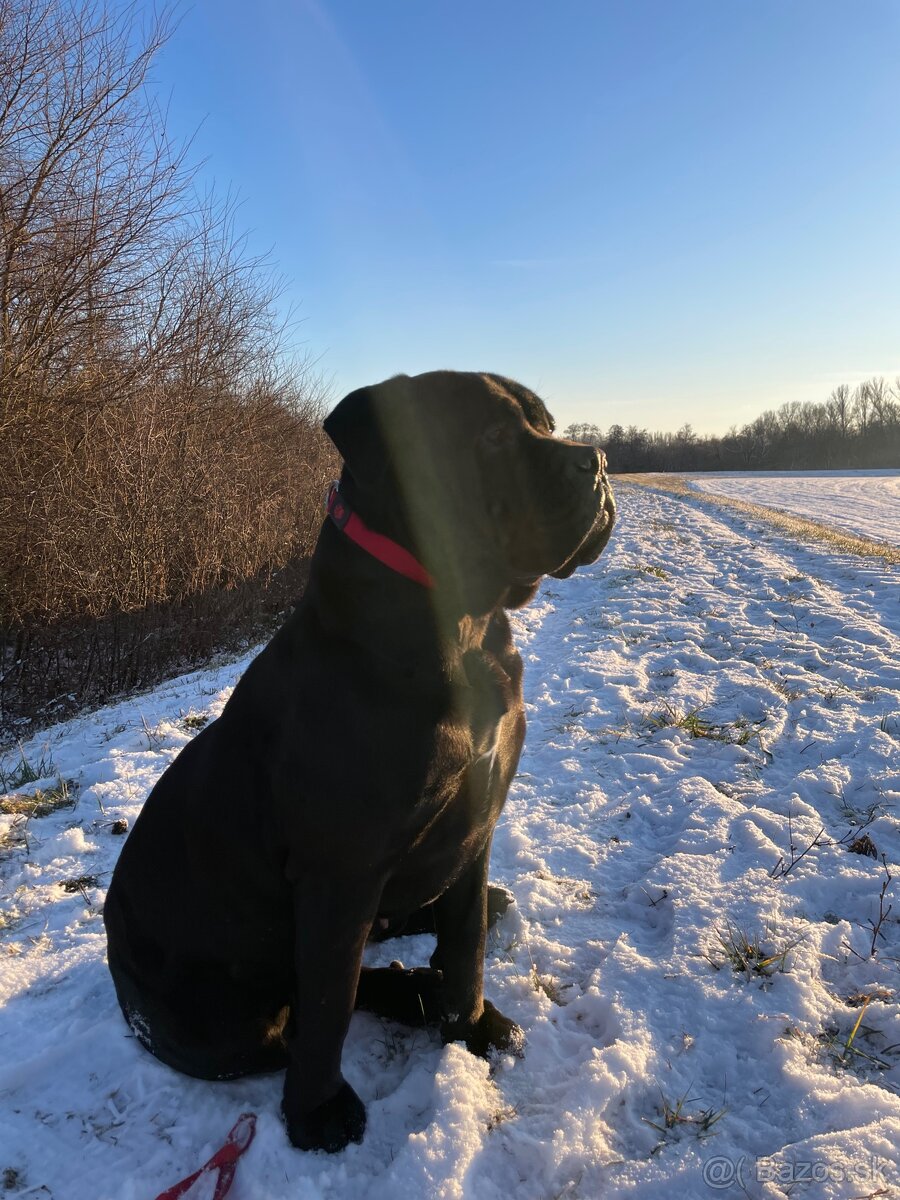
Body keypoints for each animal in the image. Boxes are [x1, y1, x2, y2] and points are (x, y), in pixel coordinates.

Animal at [102, 367, 619, 1152]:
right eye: (495, 435)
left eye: (547, 423)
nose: (595, 460)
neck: (462, 627)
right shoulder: (339, 870)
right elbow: (326, 1007)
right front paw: (316, 1112)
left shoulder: (477, 822)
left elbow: (465, 940)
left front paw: (469, 1022)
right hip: (216, 1021)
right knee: (302, 1005)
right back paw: (406, 989)